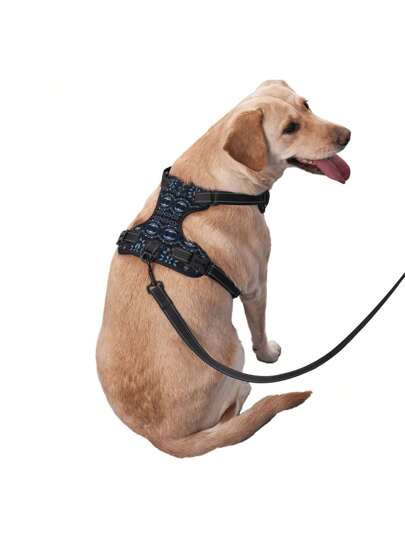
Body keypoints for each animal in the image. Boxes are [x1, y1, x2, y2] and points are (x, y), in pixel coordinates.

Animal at [96, 80, 351, 457]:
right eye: (290, 128)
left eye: (307, 105)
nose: (347, 135)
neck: (218, 184)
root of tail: (161, 437)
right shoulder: (257, 285)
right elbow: (259, 330)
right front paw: (269, 354)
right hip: (233, 349)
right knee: (231, 413)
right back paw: (244, 393)